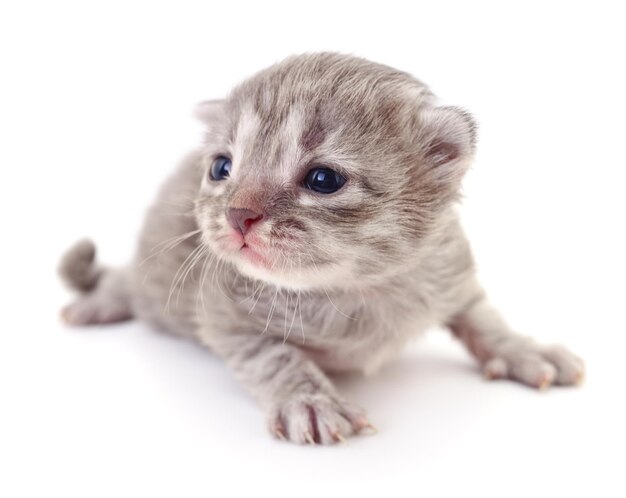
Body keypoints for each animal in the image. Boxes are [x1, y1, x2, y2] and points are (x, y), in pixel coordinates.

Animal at [57, 52, 580, 446]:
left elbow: (483, 318)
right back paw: (101, 302)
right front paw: (309, 400)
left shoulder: (449, 270)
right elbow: (273, 355)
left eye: (323, 179)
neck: (355, 286)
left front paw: (524, 349)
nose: (238, 214)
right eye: (222, 168)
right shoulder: (223, 310)